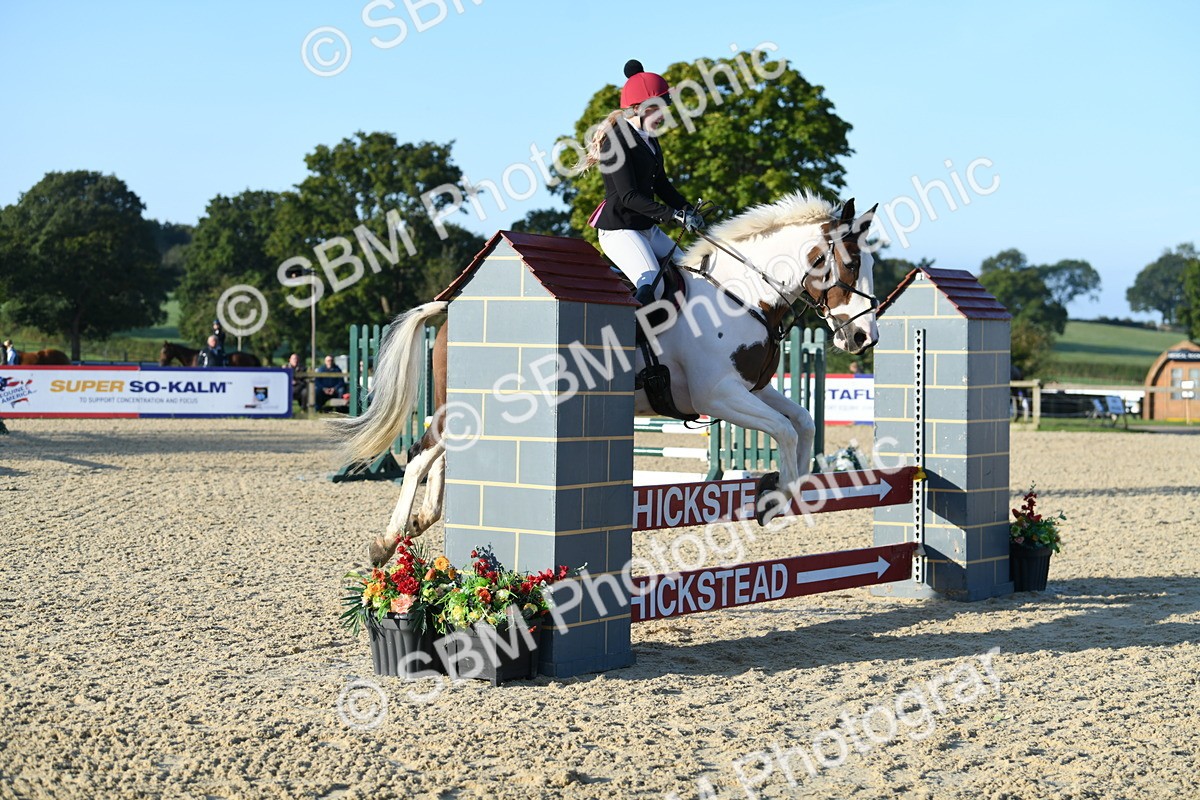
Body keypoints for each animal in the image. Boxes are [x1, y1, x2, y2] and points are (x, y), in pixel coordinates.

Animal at [335, 192, 880, 566]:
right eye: (852, 263)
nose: (862, 338)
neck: (742, 294)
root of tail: (449, 308)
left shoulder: (753, 388)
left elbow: (803, 423)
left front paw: (791, 488)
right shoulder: (718, 397)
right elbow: (785, 430)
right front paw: (777, 495)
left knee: (440, 455)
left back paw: (420, 521)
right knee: (420, 453)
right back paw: (387, 542)